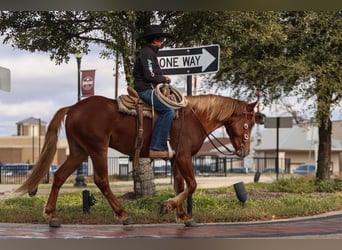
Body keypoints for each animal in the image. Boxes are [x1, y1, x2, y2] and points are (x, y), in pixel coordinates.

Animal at [16, 93, 256, 227]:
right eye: (249, 123)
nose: (244, 151)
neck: (194, 119)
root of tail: (74, 108)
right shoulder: (184, 156)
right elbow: (193, 185)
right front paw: (167, 207)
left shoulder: (176, 159)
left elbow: (180, 186)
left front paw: (182, 215)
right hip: (97, 149)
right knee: (102, 181)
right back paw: (123, 215)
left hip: (79, 151)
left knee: (59, 176)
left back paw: (51, 214)